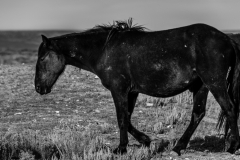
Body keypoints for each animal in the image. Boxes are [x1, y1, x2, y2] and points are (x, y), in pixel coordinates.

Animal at [33, 18, 240, 155]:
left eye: (42, 58)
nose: (38, 87)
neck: (104, 50)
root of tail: (227, 38)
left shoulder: (119, 90)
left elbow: (122, 118)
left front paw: (121, 148)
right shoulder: (131, 92)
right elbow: (128, 118)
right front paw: (145, 140)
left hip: (214, 83)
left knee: (230, 109)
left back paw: (232, 147)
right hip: (201, 86)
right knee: (198, 114)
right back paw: (178, 147)